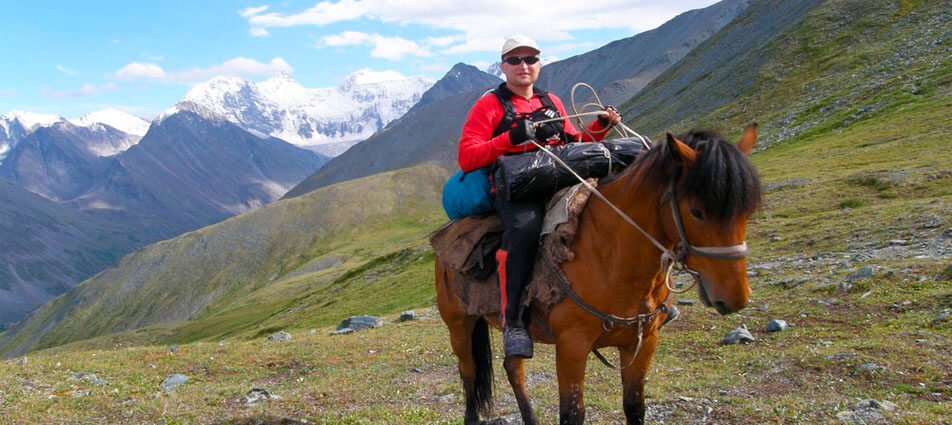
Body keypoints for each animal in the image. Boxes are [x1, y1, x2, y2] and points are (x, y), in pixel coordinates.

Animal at [436, 124, 760, 422]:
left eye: (746, 210)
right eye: (696, 211)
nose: (736, 297)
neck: (612, 255)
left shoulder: (642, 342)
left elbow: (634, 407)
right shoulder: (572, 346)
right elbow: (572, 414)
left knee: (513, 368)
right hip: (460, 325)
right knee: (469, 373)